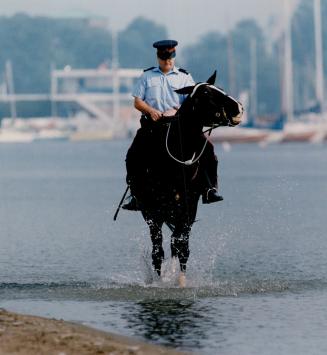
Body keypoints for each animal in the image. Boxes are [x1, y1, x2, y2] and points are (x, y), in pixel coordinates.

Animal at [124, 72, 242, 286]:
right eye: (206, 95)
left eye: (219, 88)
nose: (239, 108)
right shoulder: (151, 211)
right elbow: (158, 250)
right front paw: (160, 282)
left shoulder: (189, 207)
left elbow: (181, 246)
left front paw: (179, 281)